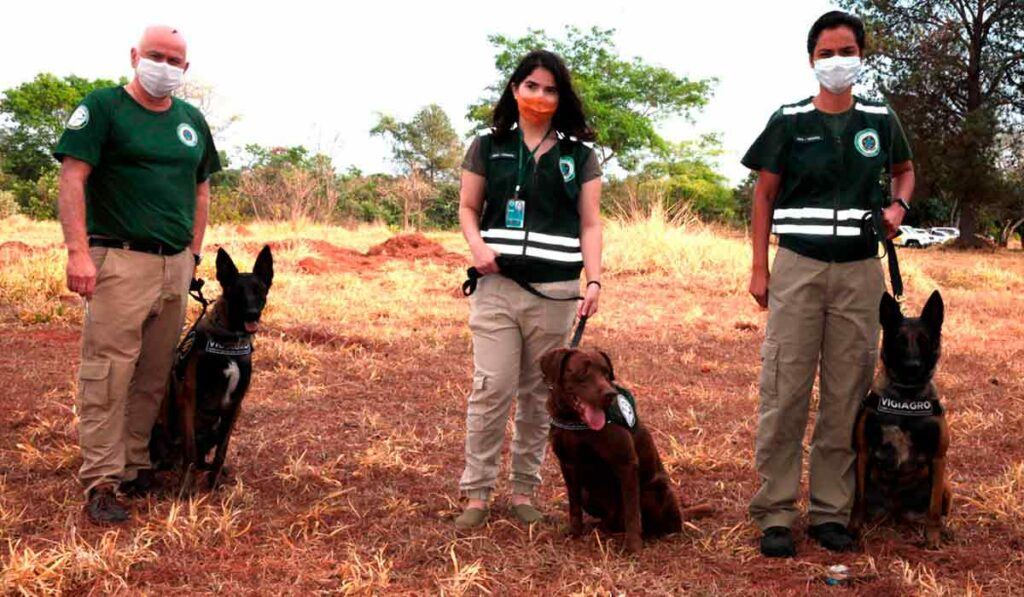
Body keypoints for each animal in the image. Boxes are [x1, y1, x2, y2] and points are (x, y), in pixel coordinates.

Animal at [150, 245, 272, 493]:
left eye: (259, 290)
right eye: (237, 291)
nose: (252, 314)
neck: (230, 341)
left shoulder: (235, 405)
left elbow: (222, 452)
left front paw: (214, 482)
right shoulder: (189, 396)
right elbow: (189, 449)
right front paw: (185, 489)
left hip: (215, 426)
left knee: (201, 458)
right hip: (162, 425)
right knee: (178, 456)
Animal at [540, 348, 708, 552]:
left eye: (606, 373)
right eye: (583, 372)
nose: (610, 394)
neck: (575, 421)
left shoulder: (626, 463)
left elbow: (632, 512)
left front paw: (633, 545)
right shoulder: (568, 465)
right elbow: (574, 505)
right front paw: (574, 532)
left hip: (654, 491)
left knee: (663, 524)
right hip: (588, 493)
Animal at [847, 290, 950, 552]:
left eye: (924, 340)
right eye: (899, 339)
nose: (912, 367)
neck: (906, 397)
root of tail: (895, 511)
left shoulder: (938, 458)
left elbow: (934, 509)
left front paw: (933, 538)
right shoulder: (864, 453)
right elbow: (859, 500)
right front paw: (853, 530)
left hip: (946, 486)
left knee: (937, 509)